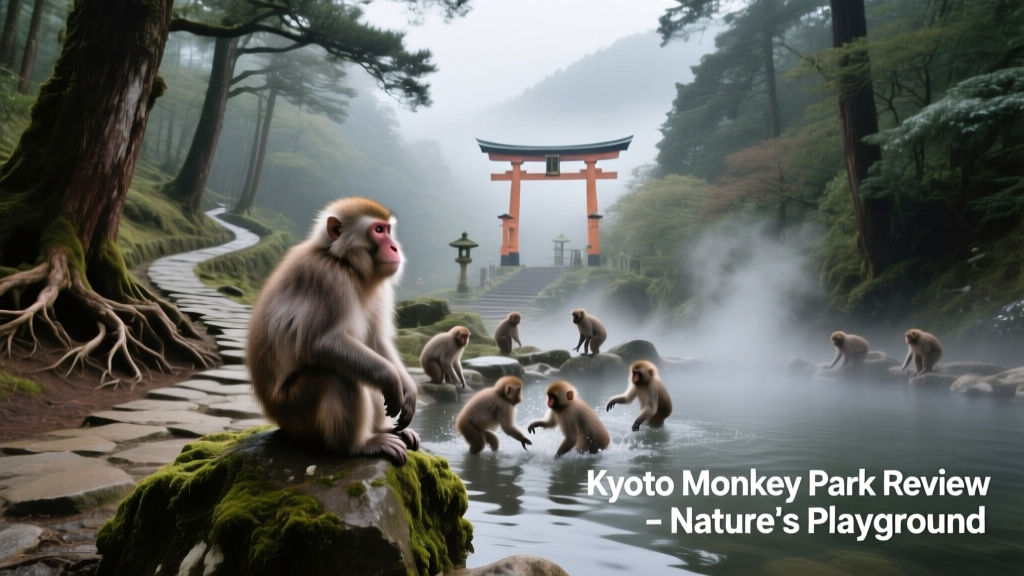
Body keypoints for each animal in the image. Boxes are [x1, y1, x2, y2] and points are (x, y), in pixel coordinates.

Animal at [247, 197, 419, 465]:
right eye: (378, 230)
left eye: (388, 230)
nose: (394, 247)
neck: (344, 263)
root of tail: (274, 415)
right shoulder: (328, 279)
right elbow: (319, 343)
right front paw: (391, 378)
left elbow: (375, 341)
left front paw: (409, 389)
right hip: (296, 410)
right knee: (336, 375)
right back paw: (360, 445)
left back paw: (383, 430)